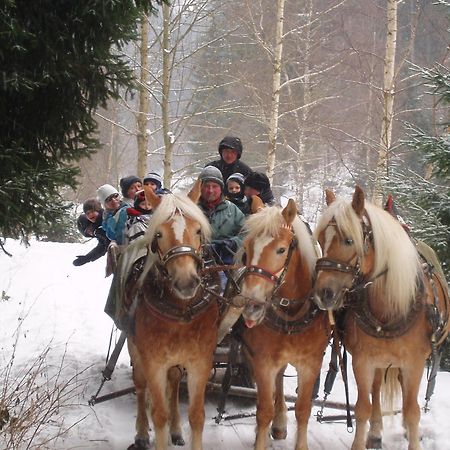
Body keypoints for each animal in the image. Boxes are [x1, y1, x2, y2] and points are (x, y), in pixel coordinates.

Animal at [125, 182, 221, 450]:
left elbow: (196, 415)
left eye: (198, 230)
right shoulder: (154, 362)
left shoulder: (200, 362)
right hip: (135, 350)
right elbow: (159, 414)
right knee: (140, 386)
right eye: (158, 234)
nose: (186, 281)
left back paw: (176, 430)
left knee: (175, 383)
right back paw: (141, 433)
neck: (181, 313)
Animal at [236, 197, 330, 450]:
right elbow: (263, 410)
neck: (291, 315)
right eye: (247, 248)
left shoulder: (310, 364)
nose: (251, 306)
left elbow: (303, 409)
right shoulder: (263, 361)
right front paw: (261, 439)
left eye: (281, 249)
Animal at [312, 185, 450, 450]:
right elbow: (363, 408)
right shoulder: (363, 360)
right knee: (376, 391)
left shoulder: (415, 362)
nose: (323, 294)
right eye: (321, 240)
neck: (390, 309)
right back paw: (375, 433)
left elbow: (412, 410)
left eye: (349, 240)